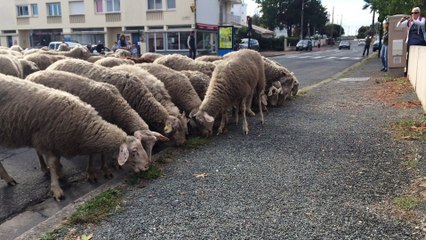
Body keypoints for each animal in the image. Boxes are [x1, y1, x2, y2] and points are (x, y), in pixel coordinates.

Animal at [0, 73, 150, 201]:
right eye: (134, 152)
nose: (147, 166)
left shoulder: (54, 140)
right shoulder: (46, 139)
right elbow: (53, 163)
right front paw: (57, 189)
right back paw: (15, 177)